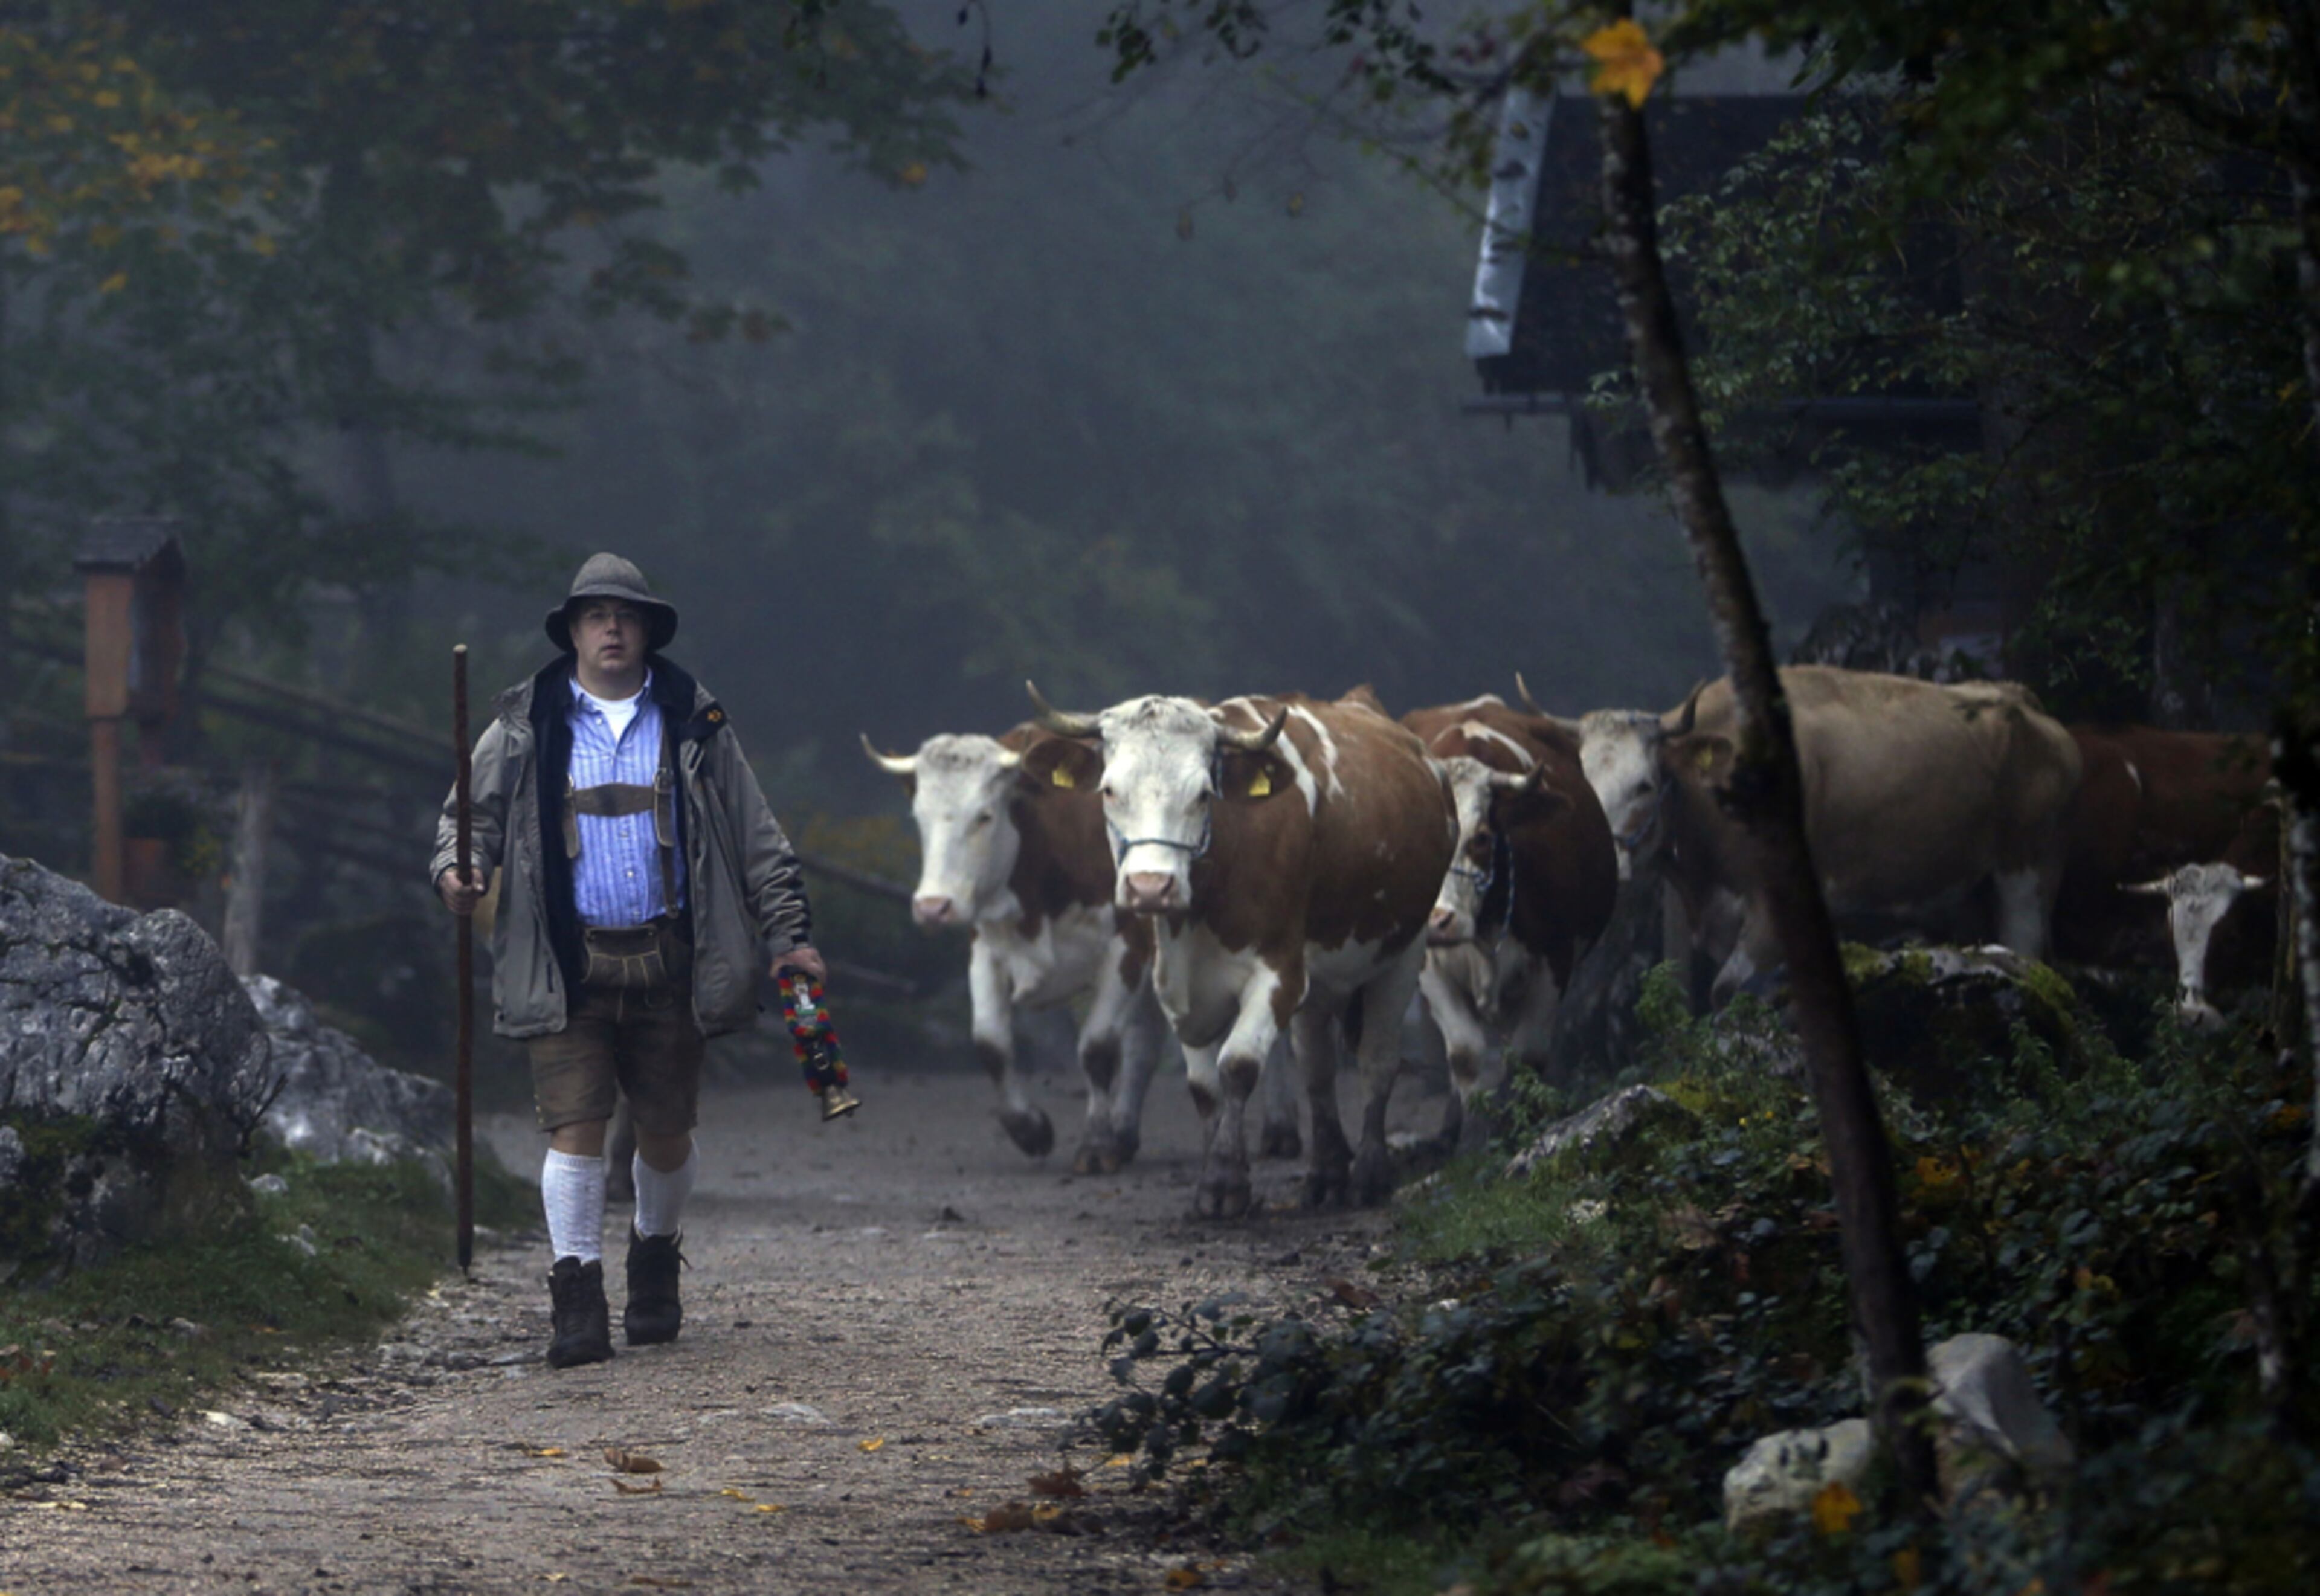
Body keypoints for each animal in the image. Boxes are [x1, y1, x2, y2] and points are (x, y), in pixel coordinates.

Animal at [1025, 684, 1457, 1216]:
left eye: (1202, 794)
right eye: (1109, 790)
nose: (1150, 888)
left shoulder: (1280, 973)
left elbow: (1237, 1066)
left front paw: (1226, 1183)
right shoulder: (1179, 986)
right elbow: (1205, 1089)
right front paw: (1214, 1179)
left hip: (1403, 953)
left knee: (1378, 1059)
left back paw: (1370, 1176)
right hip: (1323, 976)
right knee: (1317, 1067)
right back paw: (1327, 1173)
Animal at [1400, 696, 1618, 1151]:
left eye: (1481, 837)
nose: (1438, 921)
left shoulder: (1556, 959)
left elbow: (1528, 1054)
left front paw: (1526, 1125)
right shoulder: (1428, 967)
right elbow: (1465, 1054)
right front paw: (1472, 1139)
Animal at [1551, 666, 2082, 1006]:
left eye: (1643, 784)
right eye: (1583, 781)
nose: (1602, 859)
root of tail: (2024, 701)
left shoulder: (1772, 912)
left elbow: (1727, 992)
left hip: (2027, 877)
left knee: (2029, 955)